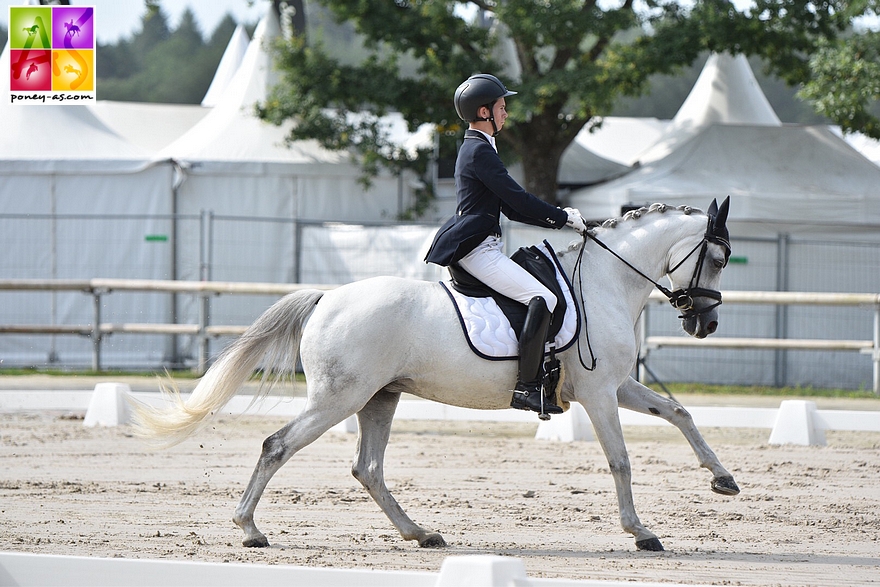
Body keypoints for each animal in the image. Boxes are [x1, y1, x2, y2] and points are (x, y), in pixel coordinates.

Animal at [132, 200, 736, 552]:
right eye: (721, 258)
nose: (705, 322)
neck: (604, 282)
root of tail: (327, 296)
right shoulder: (598, 392)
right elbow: (621, 459)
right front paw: (642, 532)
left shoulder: (615, 385)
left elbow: (678, 411)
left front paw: (722, 479)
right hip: (339, 399)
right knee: (278, 446)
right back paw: (250, 529)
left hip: (379, 397)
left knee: (368, 468)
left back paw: (420, 533)